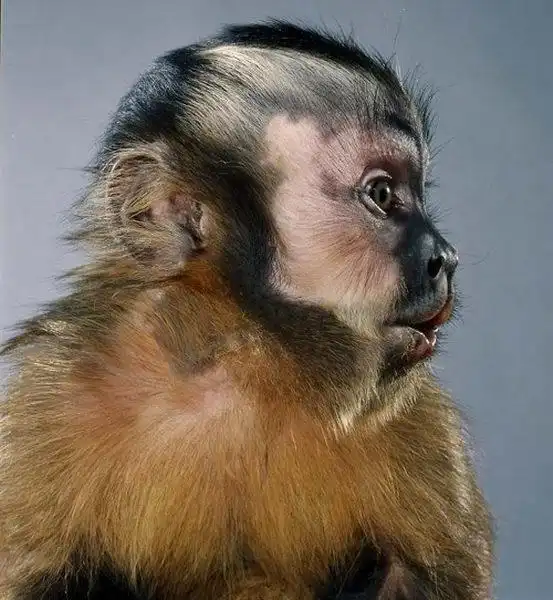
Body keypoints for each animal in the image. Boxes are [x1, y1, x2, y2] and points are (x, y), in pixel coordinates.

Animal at [0, 19, 494, 600]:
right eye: (382, 194)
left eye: (417, 195)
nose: (446, 258)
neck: (250, 360)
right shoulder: (58, 390)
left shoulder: (422, 422)